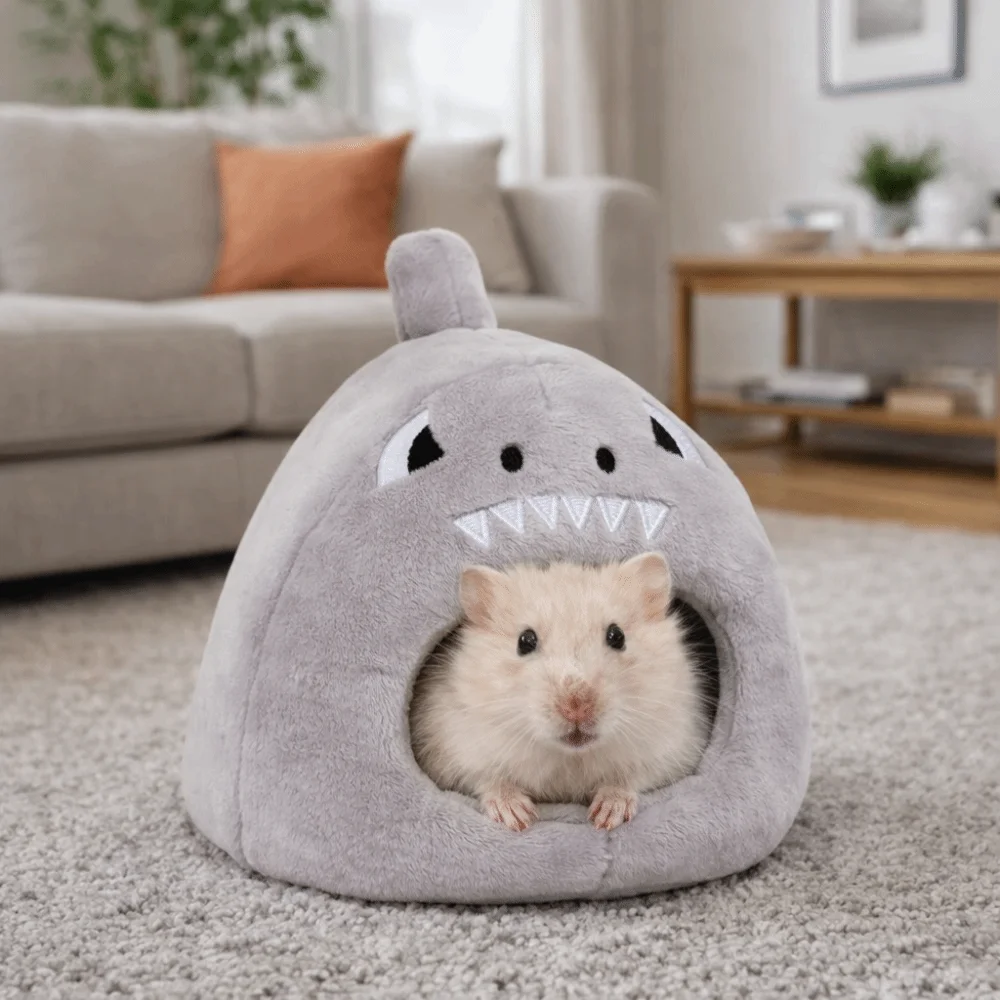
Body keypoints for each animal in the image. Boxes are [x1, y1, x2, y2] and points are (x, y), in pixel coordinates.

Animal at [409, 553, 710, 831]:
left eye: (617, 636)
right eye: (525, 641)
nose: (577, 709)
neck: (569, 756)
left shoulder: (673, 748)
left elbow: (628, 778)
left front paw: (605, 818)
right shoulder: (450, 748)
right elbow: (487, 778)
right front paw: (519, 818)